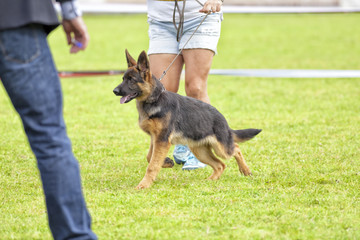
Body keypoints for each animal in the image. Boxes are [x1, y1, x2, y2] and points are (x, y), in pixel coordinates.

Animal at [113, 50, 262, 189]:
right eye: (123, 78)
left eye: (131, 80)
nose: (115, 91)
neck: (155, 99)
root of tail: (223, 120)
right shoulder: (155, 139)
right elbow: (150, 157)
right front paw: (166, 162)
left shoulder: (162, 140)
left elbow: (152, 165)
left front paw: (143, 185)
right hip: (200, 151)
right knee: (220, 165)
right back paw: (211, 180)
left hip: (221, 149)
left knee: (236, 148)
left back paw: (245, 170)